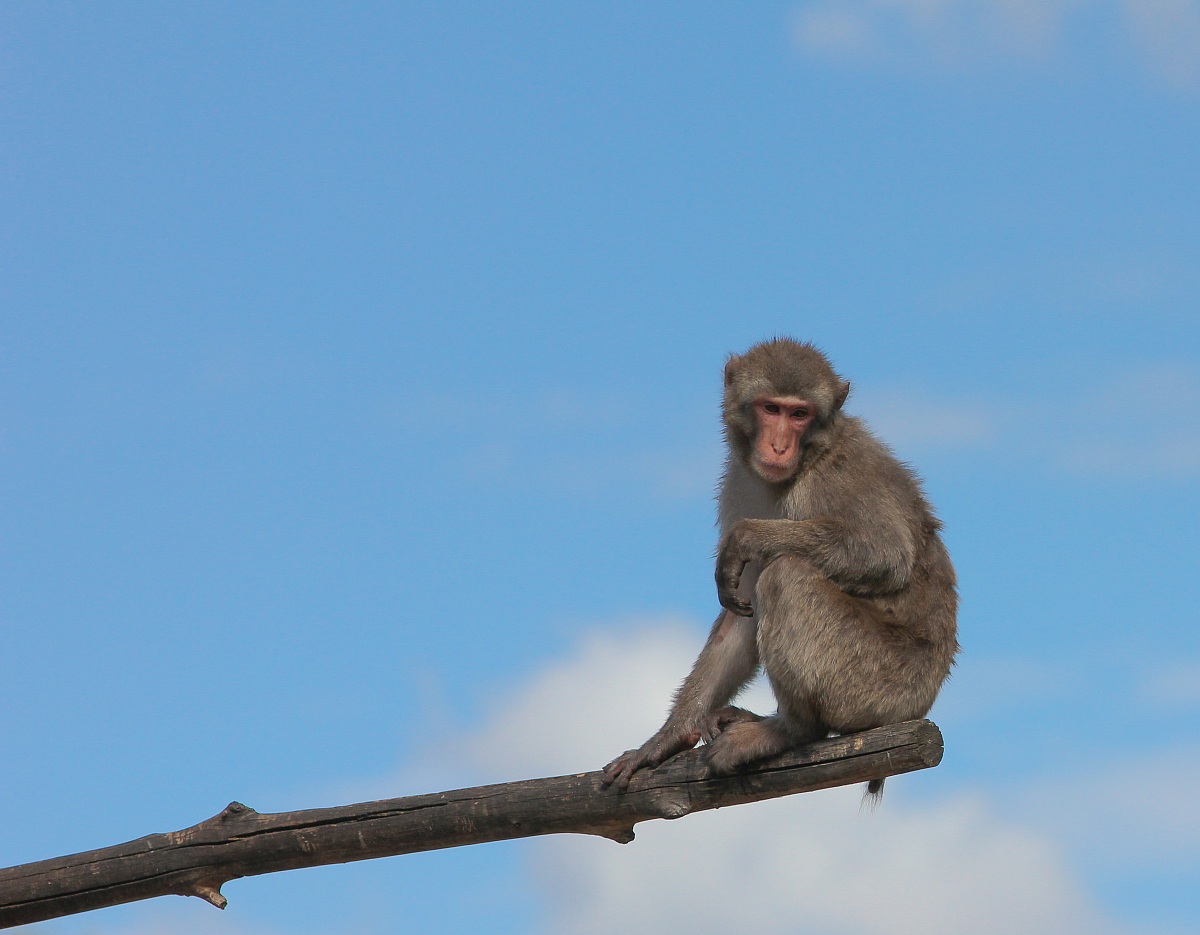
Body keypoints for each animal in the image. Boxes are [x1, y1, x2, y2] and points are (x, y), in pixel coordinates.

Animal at [601, 339, 958, 795]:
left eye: (799, 414)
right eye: (771, 408)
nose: (778, 447)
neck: (808, 459)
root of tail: (923, 703)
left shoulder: (834, 477)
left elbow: (883, 553)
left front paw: (748, 536)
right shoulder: (739, 483)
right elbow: (743, 608)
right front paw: (667, 738)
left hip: (879, 684)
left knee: (787, 575)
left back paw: (792, 730)